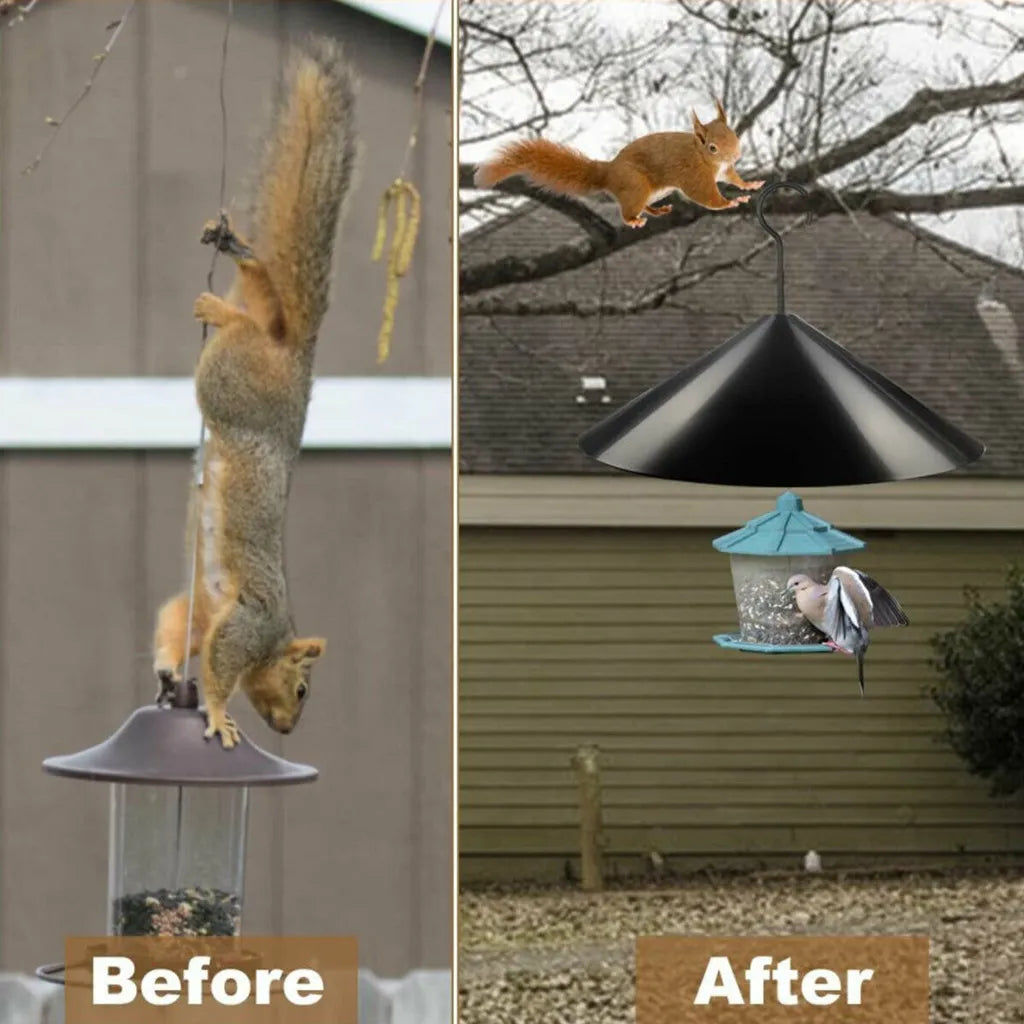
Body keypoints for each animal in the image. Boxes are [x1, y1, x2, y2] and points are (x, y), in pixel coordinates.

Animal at [151, 37, 358, 749]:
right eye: (300, 689)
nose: (291, 730)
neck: (275, 639)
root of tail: (296, 362)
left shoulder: (206, 611)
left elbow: (176, 627)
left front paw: (168, 673)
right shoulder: (246, 625)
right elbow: (216, 669)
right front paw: (217, 716)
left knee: (258, 307)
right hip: (235, 382)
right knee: (246, 325)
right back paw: (224, 296)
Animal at [474, 100, 764, 227]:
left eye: (733, 134)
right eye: (713, 147)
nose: (735, 155)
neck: (703, 156)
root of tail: (608, 172)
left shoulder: (724, 171)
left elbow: (734, 179)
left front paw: (750, 185)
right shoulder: (693, 174)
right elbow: (706, 196)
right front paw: (731, 202)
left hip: (650, 191)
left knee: (644, 206)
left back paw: (657, 210)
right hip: (636, 186)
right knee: (627, 212)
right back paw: (634, 221)